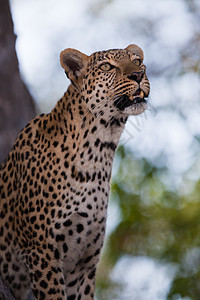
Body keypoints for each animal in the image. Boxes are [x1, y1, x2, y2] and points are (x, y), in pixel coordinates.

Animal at [0, 43, 150, 298]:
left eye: (137, 62)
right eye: (107, 66)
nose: (138, 75)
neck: (99, 151)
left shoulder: (83, 263)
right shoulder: (41, 251)